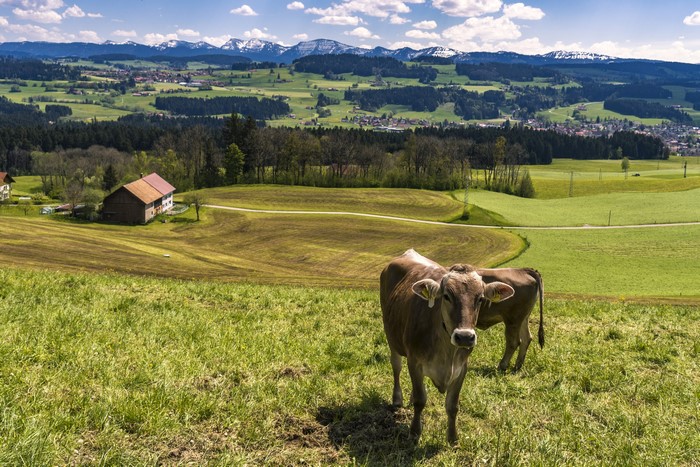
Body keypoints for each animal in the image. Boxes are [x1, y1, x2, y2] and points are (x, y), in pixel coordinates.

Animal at [380, 249, 515, 444]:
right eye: (446, 296)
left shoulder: (462, 368)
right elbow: (420, 400)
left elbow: (452, 406)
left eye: (480, 298)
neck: (447, 351)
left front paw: (453, 438)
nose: (464, 337)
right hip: (391, 336)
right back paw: (397, 399)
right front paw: (414, 432)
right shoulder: (414, 361)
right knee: (396, 366)